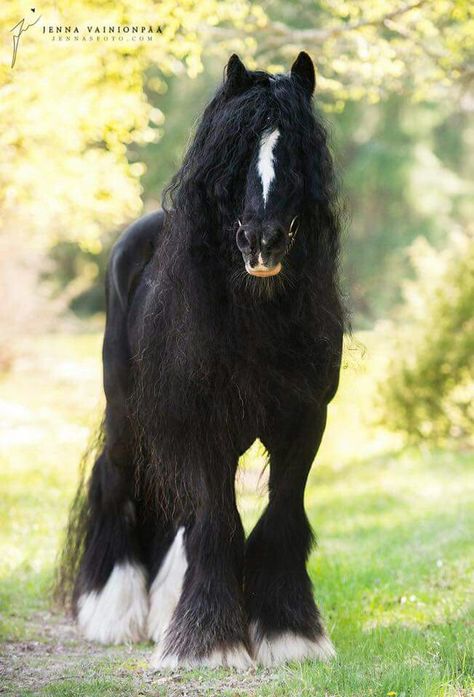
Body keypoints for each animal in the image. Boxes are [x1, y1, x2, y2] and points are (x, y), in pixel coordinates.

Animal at [62, 53, 344, 668]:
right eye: (233, 154)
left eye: (296, 152)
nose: (261, 242)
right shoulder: (203, 423)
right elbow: (219, 524)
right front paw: (209, 644)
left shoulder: (305, 422)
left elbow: (279, 517)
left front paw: (289, 635)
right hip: (126, 413)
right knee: (116, 482)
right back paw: (112, 611)